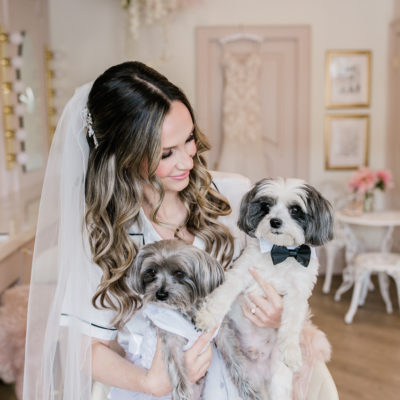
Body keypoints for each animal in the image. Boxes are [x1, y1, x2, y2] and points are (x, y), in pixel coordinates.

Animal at [195, 179, 332, 400]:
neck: (281, 252)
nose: (275, 221)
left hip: (278, 378)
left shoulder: (298, 293)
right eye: (266, 206)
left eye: (295, 210)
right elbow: (224, 293)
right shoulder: (241, 270)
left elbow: (293, 321)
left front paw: (292, 350)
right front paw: (207, 317)